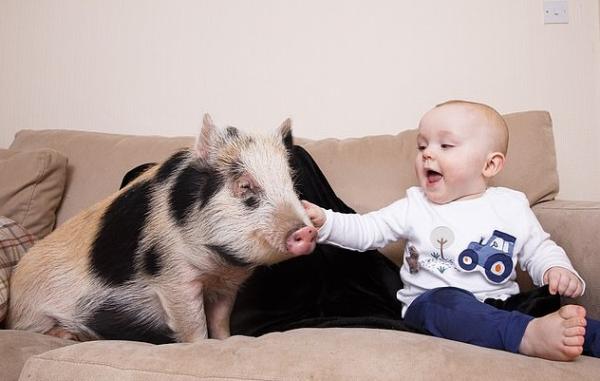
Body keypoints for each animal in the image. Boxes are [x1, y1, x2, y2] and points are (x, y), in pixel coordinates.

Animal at [7, 114, 316, 342]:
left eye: (291, 183)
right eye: (244, 186)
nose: (307, 230)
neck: (220, 263)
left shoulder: (226, 286)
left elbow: (220, 321)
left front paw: (226, 341)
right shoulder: (173, 276)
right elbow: (194, 326)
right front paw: (201, 345)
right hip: (31, 313)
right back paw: (69, 336)